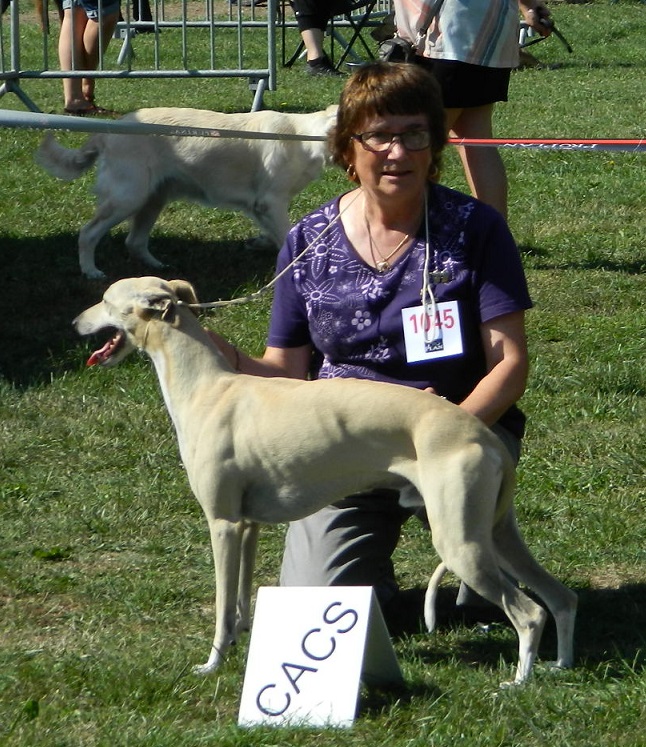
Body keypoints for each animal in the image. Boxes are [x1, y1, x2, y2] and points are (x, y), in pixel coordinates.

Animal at [35, 104, 340, 278]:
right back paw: (91, 271)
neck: (302, 137)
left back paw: (159, 268)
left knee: (134, 241)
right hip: (128, 196)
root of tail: (107, 130)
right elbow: (287, 234)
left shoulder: (262, 207)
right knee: (88, 233)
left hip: (153, 197)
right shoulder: (271, 201)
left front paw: (260, 243)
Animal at [73, 276, 580, 688]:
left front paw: (211, 663)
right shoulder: (248, 526)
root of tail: (484, 436)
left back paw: (518, 682)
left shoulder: (223, 524)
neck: (206, 386)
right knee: (560, 598)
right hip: (495, 533)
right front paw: (244, 644)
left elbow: (220, 606)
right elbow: (239, 604)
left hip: (460, 542)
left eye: (105, 300)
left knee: (529, 613)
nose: (76, 321)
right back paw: (561, 666)